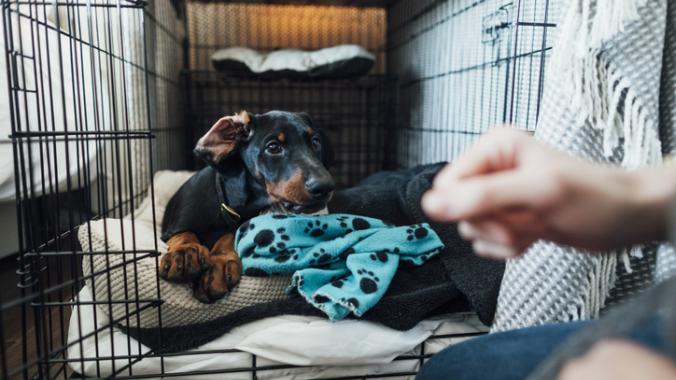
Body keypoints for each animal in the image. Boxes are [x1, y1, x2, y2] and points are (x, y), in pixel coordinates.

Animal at [161, 110, 336, 302]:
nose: (325, 186)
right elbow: (184, 233)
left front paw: (219, 264)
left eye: (315, 142)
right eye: (273, 147)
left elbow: (230, 236)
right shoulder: (172, 227)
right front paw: (185, 252)